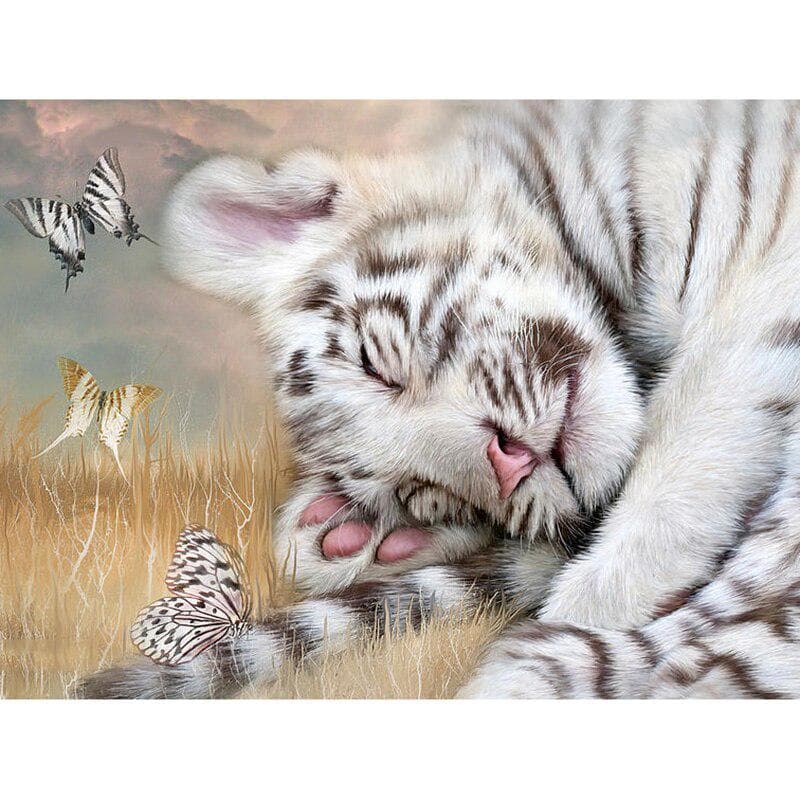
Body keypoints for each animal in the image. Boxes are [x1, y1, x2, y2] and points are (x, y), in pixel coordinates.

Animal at [80, 100, 800, 698]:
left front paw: (597, 597)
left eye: (379, 364)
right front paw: (338, 535)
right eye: (424, 492)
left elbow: (697, 425)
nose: (509, 462)